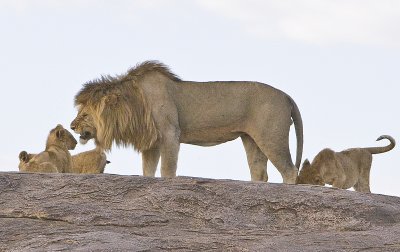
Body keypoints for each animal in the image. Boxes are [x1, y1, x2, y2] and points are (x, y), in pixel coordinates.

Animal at [71, 60, 304, 183]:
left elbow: (167, 169)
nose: (72, 126)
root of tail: (287, 95)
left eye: (85, 114)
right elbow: (148, 170)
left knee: (289, 170)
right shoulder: (151, 143)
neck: (135, 102)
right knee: (259, 173)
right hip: (251, 139)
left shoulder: (170, 135)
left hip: (270, 137)